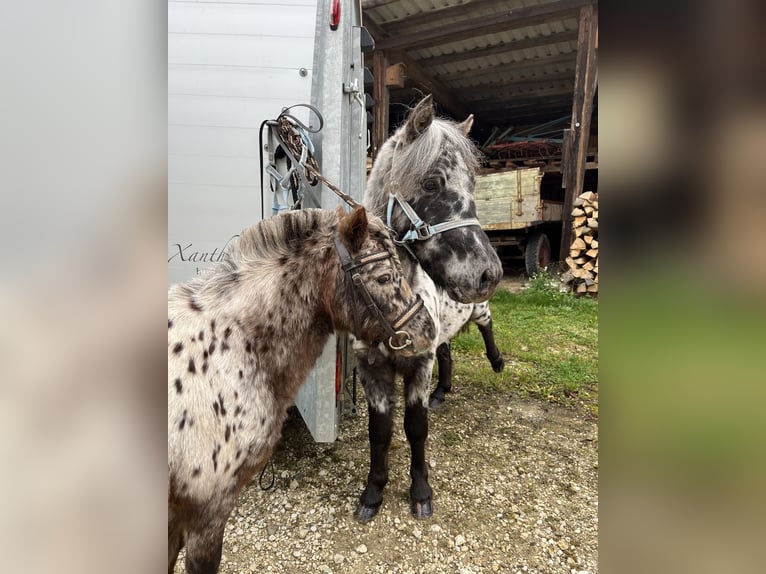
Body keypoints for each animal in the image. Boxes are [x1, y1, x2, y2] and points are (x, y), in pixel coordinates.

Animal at [352, 95, 504, 522]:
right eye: (432, 183)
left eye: (472, 184)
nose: (489, 273)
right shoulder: (372, 368)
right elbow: (380, 432)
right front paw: (373, 493)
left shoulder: (418, 364)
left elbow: (415, 427)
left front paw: (421, 493)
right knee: (448, 352)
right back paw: (443, 392)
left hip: (478, 310)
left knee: (487, 326)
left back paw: (497, 361)